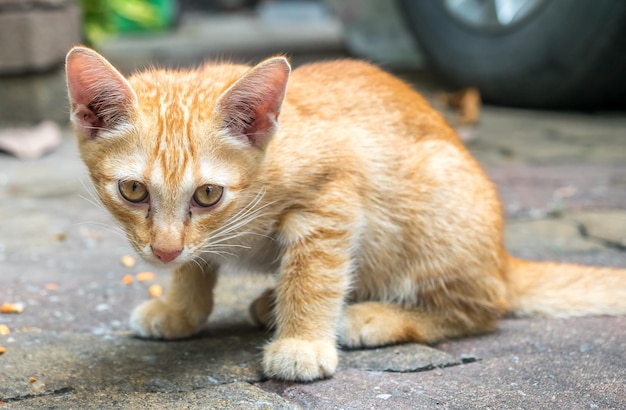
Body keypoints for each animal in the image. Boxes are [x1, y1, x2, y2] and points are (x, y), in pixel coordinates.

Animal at [66, 47, 620, 382]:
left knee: (485, 306)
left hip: (438, 201)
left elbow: (314, 276)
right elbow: (197, 262)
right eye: (133, 190)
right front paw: (180, 308)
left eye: (207, 195)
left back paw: (370, 316)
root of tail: (503, 258)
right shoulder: (196, 240)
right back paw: (268, 303)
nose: (162, 251)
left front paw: (303, 343)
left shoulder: (332, 199)